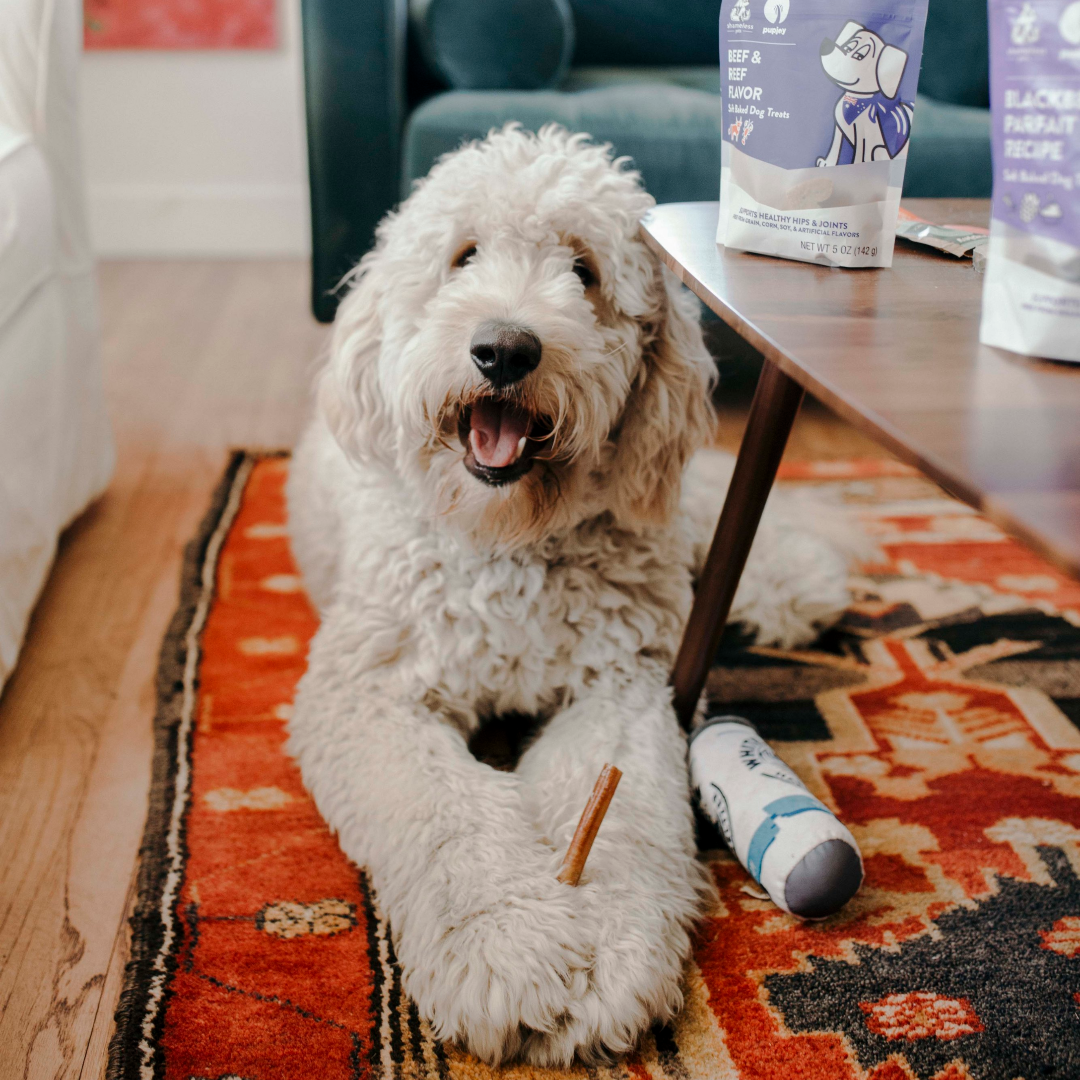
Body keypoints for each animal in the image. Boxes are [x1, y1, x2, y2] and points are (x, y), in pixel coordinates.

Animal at [287, 124, 851, 1062]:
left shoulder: (620, 691)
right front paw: (508, 949)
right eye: (463, 256)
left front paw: (613, 952)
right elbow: (453, 816)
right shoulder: (370, 696)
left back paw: (800, 580)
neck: (509, 541)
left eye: (583, 270)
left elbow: (618, 813)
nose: (506, 349)